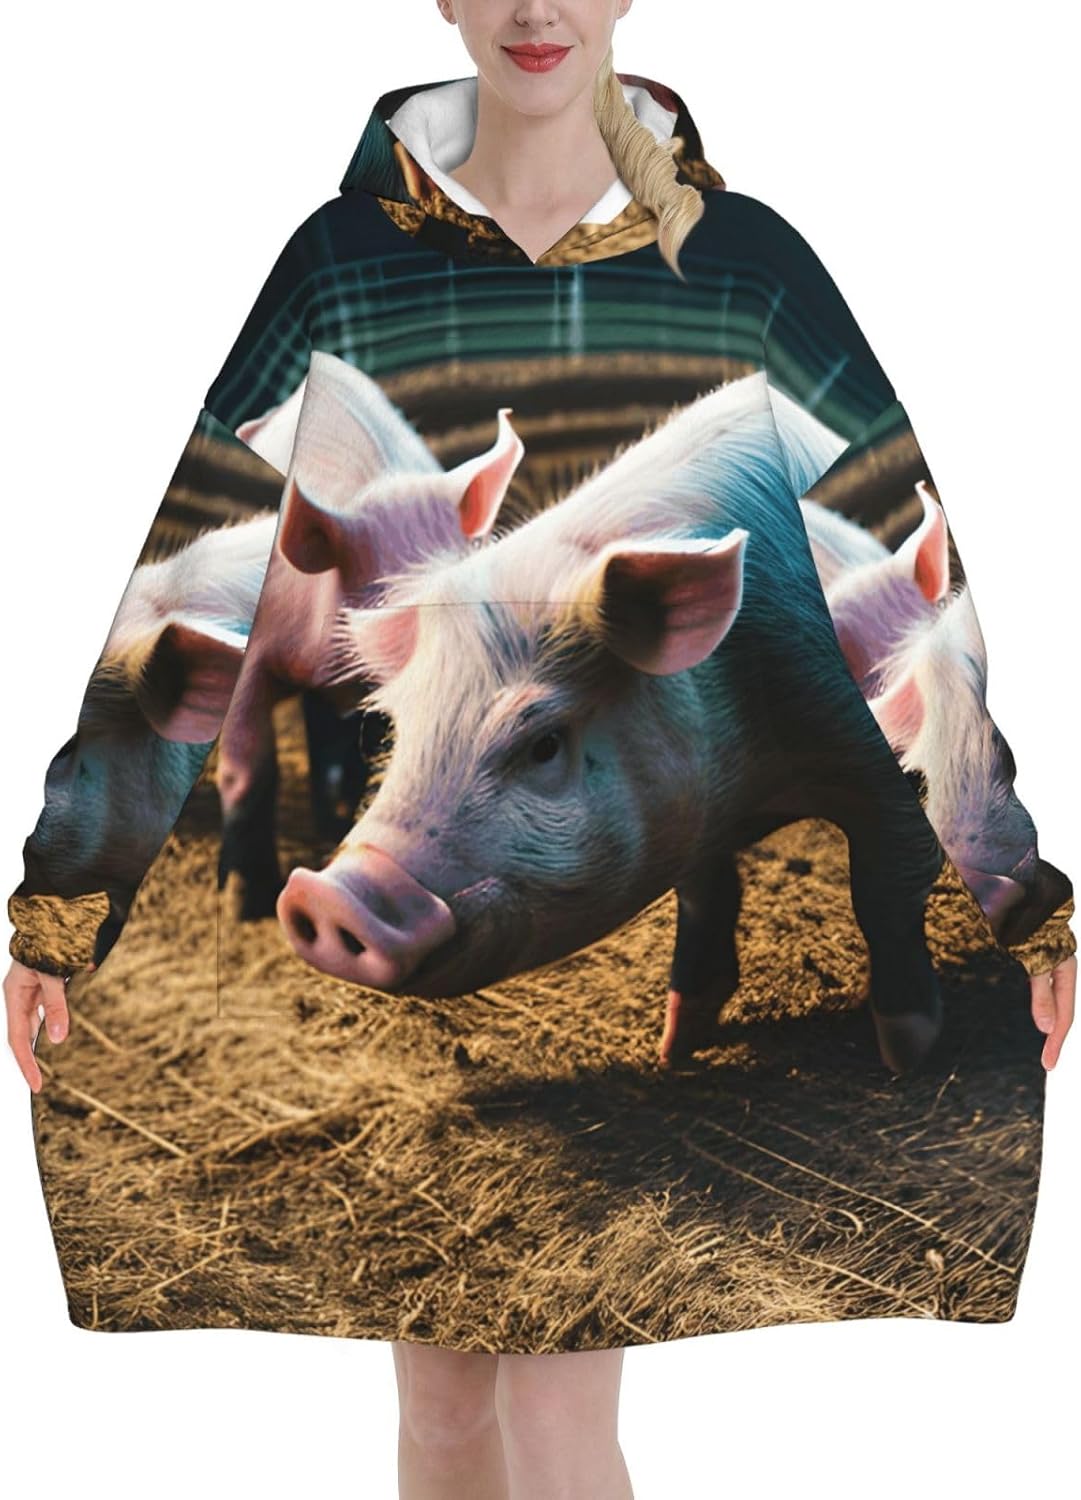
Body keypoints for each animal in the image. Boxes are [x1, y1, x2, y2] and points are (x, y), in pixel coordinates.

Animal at [276, 371, 947, 1076]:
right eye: (399, 730)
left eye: (544, 743)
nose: (329, 895)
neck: (757, 783)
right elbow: (707, 897)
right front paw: (674, 1049)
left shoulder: (862, 748)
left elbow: (888, 882)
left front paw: (908, 1056)